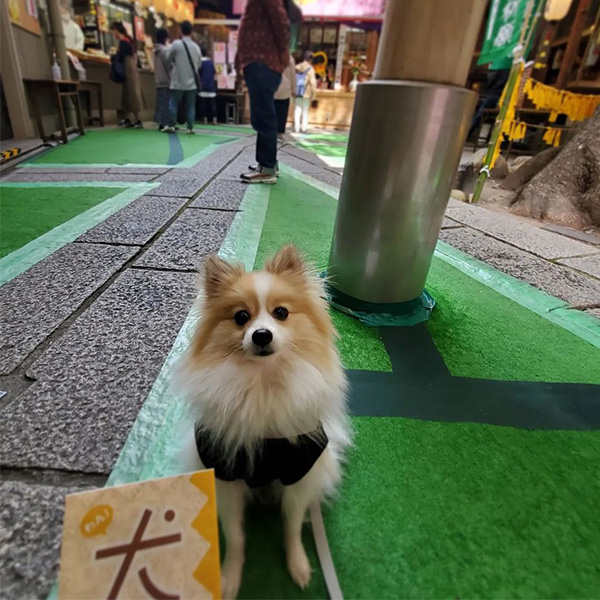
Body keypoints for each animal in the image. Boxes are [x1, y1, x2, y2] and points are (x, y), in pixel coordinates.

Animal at [176, 246, 350, 596]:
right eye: (241, 317)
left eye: (281, 313)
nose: (261, 335)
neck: (263, 384)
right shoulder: (226, 475)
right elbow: (236, 536)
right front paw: (230, 577)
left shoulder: (298, 472)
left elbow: (292, 525)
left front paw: (298, 564)